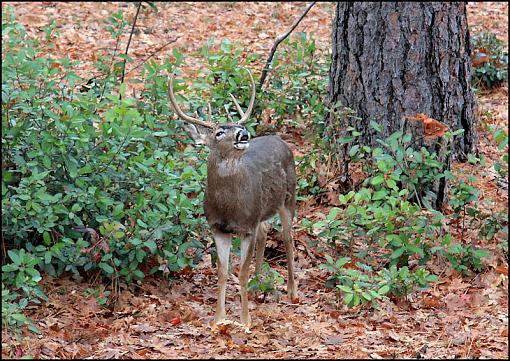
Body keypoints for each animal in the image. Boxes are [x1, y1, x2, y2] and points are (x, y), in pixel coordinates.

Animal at [168, 67, 294, 326]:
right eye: (218, 132)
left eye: (237, 124)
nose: (243, 133)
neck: (229, 208)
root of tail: (280, 140)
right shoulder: (217, 227)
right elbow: (223, 272)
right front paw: (219, 318)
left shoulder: (247, 226)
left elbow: (241, 272)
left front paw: (245, 320)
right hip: (263, 211)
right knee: (266, 231)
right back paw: (258, 286)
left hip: (289, 198)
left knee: (288, 238)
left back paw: (291, 291)